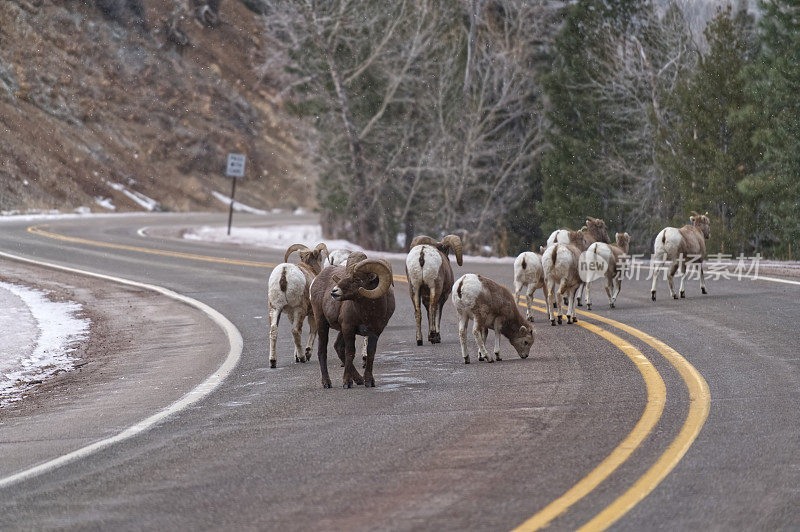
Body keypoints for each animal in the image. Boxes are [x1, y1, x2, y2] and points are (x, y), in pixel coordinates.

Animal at [310, 251, 394, 388]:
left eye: (357, 279)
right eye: (346, 275)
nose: (334, 292)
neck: (367, 313)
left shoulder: (375, 332)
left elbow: (370, 354)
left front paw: (369, 381)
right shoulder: (348, 328)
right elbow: (350, 353)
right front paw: (347, 383)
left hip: (339, 330)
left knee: (338, 347)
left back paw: (359, 379)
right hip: (322, 323)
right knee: (322, 351)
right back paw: (327, 383)